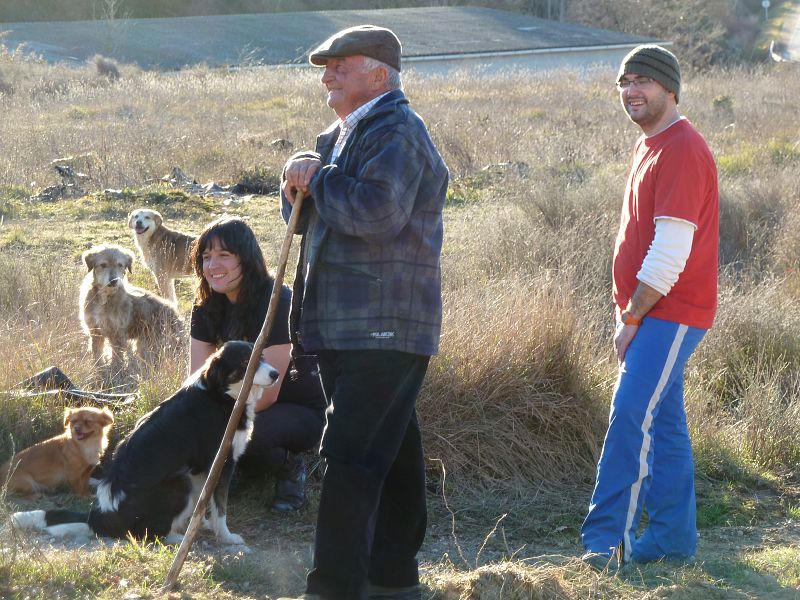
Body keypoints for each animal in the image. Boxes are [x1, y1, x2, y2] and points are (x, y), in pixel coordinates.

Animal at [79, 244, 184, 376]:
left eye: (120, 265)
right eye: (103, 265)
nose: (114, 280)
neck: (105, 297)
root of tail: (176, 316)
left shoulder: (117, 334)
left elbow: (117, 357)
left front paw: (115, 371)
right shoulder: (95, 331)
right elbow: (97, 353)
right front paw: (98, 369)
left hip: (150, 344)